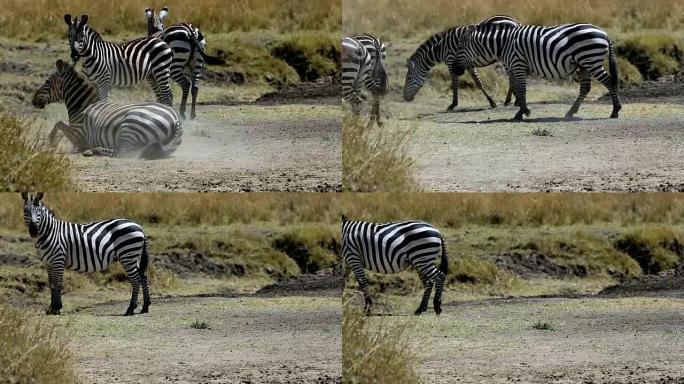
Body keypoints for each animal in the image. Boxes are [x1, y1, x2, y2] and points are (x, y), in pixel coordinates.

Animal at [21, 192, 151, 316]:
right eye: (25, 210)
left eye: (39, 210)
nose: (34, 230)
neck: (50, 233)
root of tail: (140, 227)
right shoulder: (48, 263)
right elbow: (51, 284)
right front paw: (51, 308)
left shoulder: (58, 260)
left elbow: (58, 283)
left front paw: (57, 308)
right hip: (133, 256)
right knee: (143, 276)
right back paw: (145, 307)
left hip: (127, 254)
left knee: (136, 279)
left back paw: (131, 309)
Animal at [33, 58, 183, 159]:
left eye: (47, 82)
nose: (33, 101)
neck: (82, 106)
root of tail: (175, 118)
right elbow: (59, 123)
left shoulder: (79, 135)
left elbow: (59, 124)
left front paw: (50, 141)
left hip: (131, 124)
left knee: (124, 152)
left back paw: (94, 150)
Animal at [452, 19, 624, 121]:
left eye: (460, 47)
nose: (454, 70)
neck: (503, 44)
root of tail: (605, 33)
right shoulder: (515, 67)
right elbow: (517, 89)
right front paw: (521, 111)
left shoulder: (517, 64)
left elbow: (521, 89)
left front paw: (523, 112)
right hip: (584, 64)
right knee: (586, 87)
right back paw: (571, 112)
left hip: (591, 60)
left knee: (609, 82)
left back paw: (615, 111)